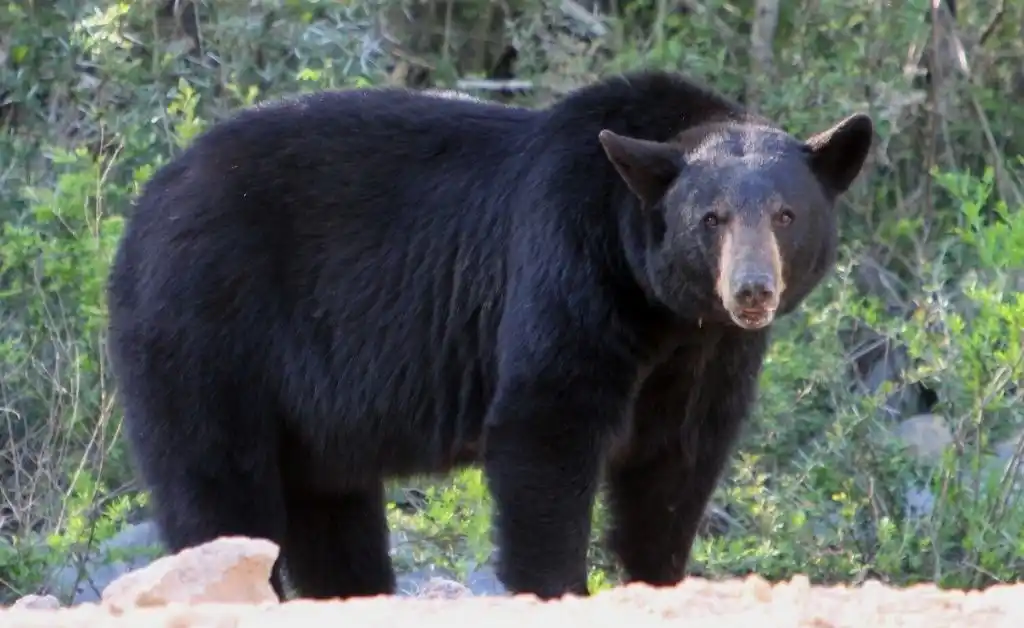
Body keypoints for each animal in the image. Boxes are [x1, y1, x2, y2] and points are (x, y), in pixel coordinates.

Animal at [105, 69, 873, 602]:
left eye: (785, 215)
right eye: (711, 218)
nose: (751, 290)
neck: (662, 310)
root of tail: (145, 202)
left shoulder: (708, 358)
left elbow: (676, 467)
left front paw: (657, 575)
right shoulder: (568, 266)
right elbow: (545, 426)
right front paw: (558, 584)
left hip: (313, 413)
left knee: (333, 513)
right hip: (204, 325)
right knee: (215, 486)